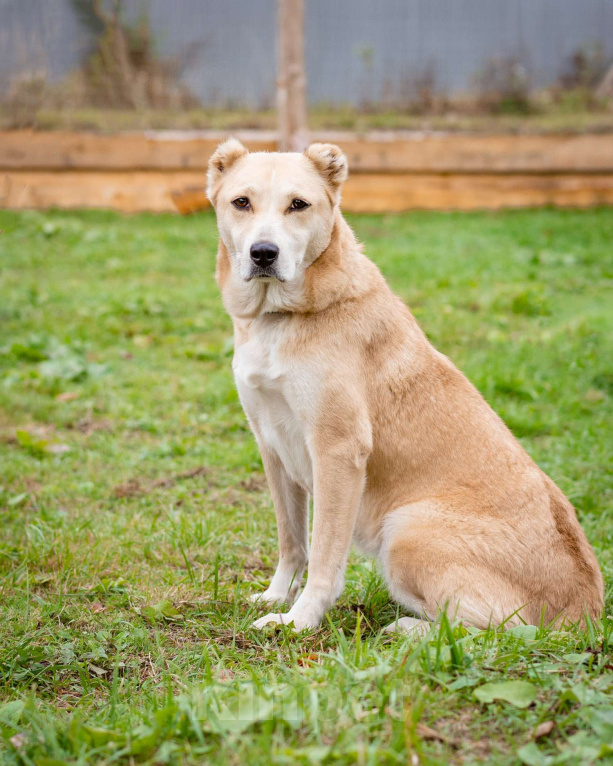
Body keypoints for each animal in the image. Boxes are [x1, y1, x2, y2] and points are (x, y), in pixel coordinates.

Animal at [206, 138, 604, 636]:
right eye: (241, 202)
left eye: (298, 205)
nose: (263, 253)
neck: (281, 317)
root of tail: (585, 612)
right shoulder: (272, 446)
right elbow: (292, 541)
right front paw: (277, 597)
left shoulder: (338, 450)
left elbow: (324, 556)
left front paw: (300, 620)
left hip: (406, 531)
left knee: (500, 631)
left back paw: (408, 630)